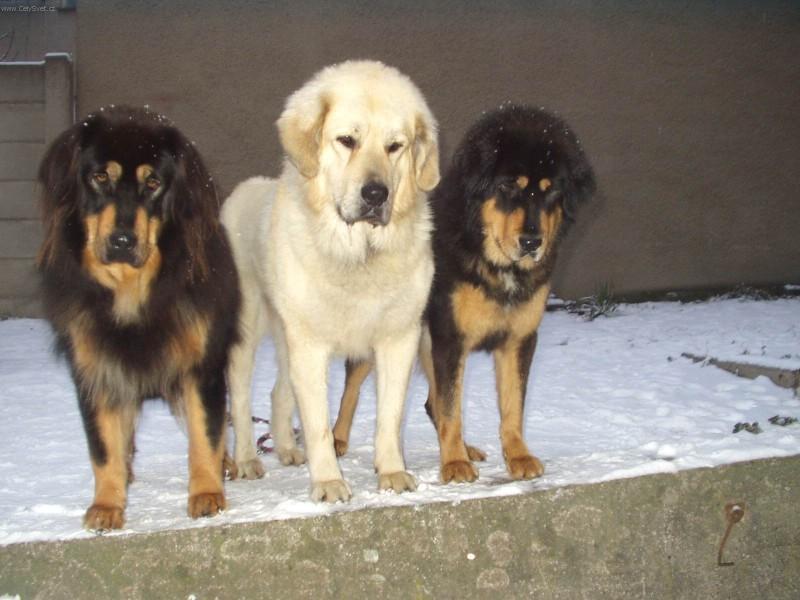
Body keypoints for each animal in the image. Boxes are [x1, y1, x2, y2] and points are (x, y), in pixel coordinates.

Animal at [38, 105, 241, 528]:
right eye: (100, 177)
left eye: (153, 183)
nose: (122, 241)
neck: (134, 292)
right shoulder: (95, 368)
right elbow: (103, 445)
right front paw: (107, 505)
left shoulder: (202, 364)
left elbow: (206, 431)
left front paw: (207, 493)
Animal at [222, 61, 440, 502]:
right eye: (347, 141)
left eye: (395, 146)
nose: (375, 194)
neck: (358, 256)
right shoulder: (310, 345)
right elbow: (319, 424)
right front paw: (328, 482)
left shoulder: (398, 338)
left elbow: (389, 416)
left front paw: (392, 472)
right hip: (247, 332)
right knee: (240, 399)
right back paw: (248, 461)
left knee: (278, 393)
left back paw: (286, 450)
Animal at [332, 104, 592, 482]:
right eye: (508, 186)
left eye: (551, 192)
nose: (532, 242)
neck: (495, 264)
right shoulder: (450, 337)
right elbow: (452, 406)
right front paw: (454, 464)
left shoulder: (519, 339)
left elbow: (512, 405)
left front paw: (517, 456)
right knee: (351, 388)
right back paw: (337, 439)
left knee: (430, 402)